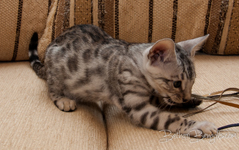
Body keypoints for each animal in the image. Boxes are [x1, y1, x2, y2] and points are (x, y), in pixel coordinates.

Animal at [29, 24, 218, 138]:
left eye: (192, 82)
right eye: (176, 83)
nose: (186, 98)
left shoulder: (151, 96)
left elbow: (165, 100)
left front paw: (193, 99)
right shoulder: (138, 107)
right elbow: (171, 118)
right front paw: (199, 125)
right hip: (56, 71)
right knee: (52, 89)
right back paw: (63, 99)